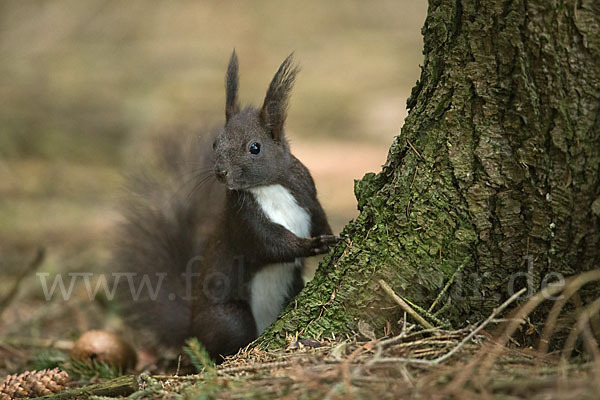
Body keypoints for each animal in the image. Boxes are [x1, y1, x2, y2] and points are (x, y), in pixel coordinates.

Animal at [112, 51, 338, 360]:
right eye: (215, 143)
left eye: (255, 147)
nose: (220, 172)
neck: (268, 186)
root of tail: (191, 331)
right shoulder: (242, 219)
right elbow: (271, 244)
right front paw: (310, 245)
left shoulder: (307, 194)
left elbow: (319, 217)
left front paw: (331, 237)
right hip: (231, 319)